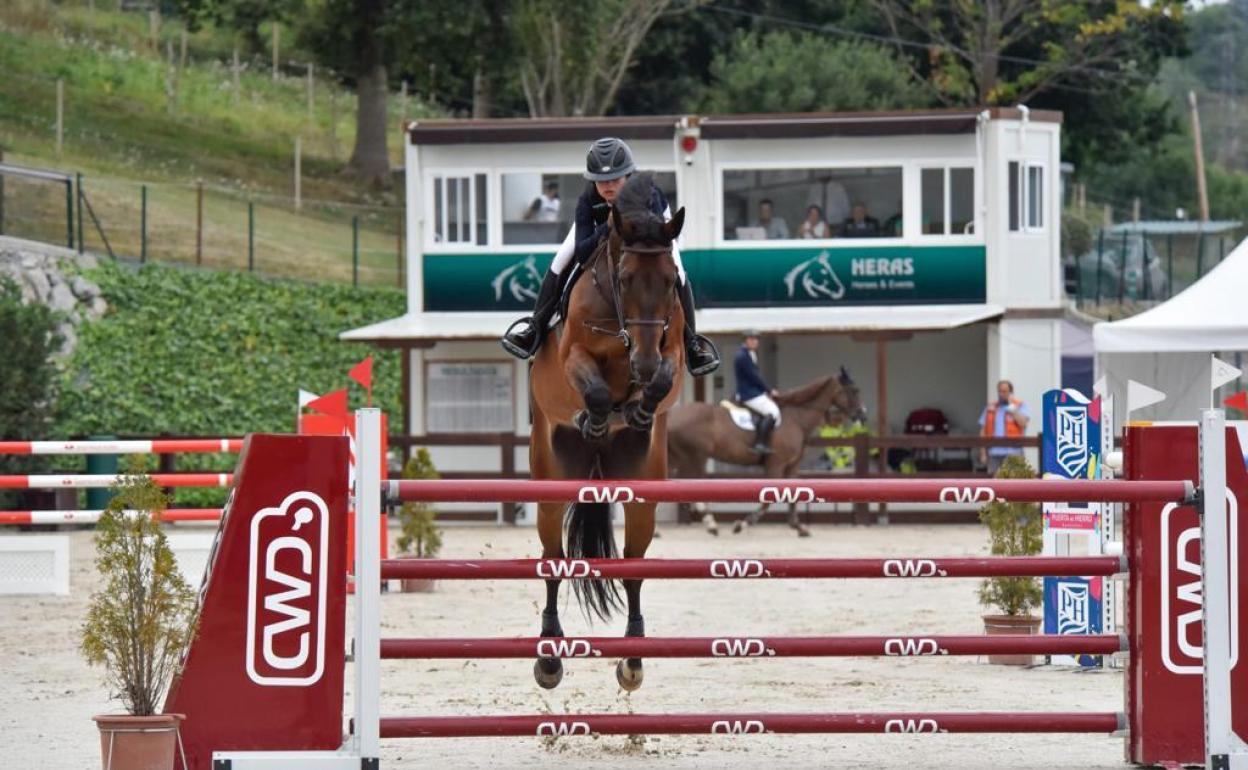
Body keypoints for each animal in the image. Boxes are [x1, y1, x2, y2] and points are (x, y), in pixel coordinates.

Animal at [524, 172, 688, 688]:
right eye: (624, 278)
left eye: (671, 282)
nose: (642, 360)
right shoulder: (573, 354)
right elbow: (593, 390)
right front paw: (595, 417)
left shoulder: (672, 349)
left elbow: (664, 379)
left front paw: (638, 408)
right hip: (551, 482)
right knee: (554, 562)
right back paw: (550, 656)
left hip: (641, 492)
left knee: (633, 570)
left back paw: (633, 659)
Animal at [668, 371, 863, 534]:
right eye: (853, 390)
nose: (862, 415)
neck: (796, 418)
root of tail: (673, 415)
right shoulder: (776, 464)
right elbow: (768, 500)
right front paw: (742, 524)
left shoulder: (792, 466)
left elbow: (793, 495)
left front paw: (799, 527)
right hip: (695, 457)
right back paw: (711, 524)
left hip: (679, 458)